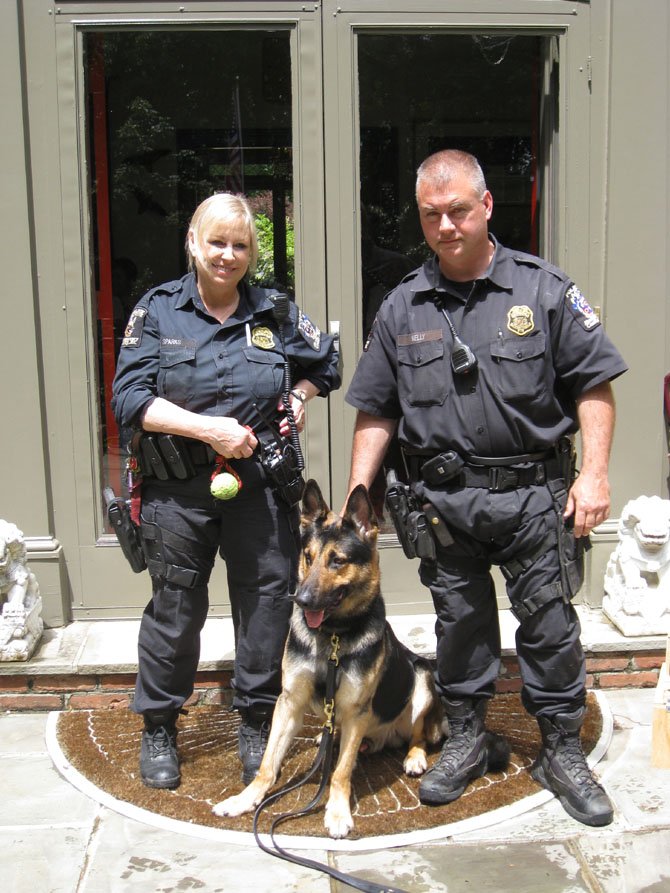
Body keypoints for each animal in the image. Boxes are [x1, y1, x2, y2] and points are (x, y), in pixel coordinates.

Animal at [213, 480, 444, 836]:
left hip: (421, 677)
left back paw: (414, 756)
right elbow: (267, 764)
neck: (333, 636)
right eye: (308, 557)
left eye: (337, 561)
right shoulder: (289, 702)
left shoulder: (356, 710)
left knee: (419, 732)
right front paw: (246, 798)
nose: (301, 599)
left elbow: (341, 772)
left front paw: (336, 813)